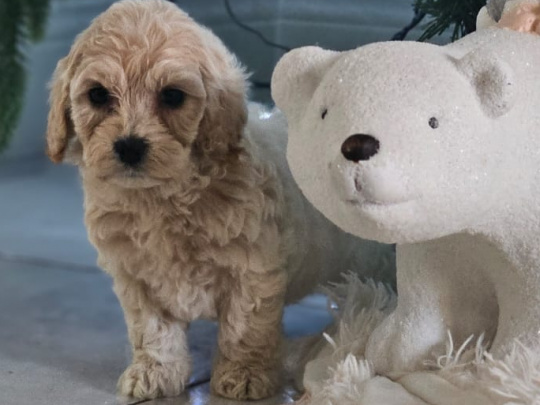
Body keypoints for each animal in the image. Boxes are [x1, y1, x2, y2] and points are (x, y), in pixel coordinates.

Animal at [45, 0, 392, 398]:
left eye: (172, 96)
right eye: (98, 95)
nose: (129, 147)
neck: (163, 197)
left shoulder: (253, 269)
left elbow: (246, 325)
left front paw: (245, 374)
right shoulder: (135, 275)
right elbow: (152, 329)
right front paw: (154, 371)